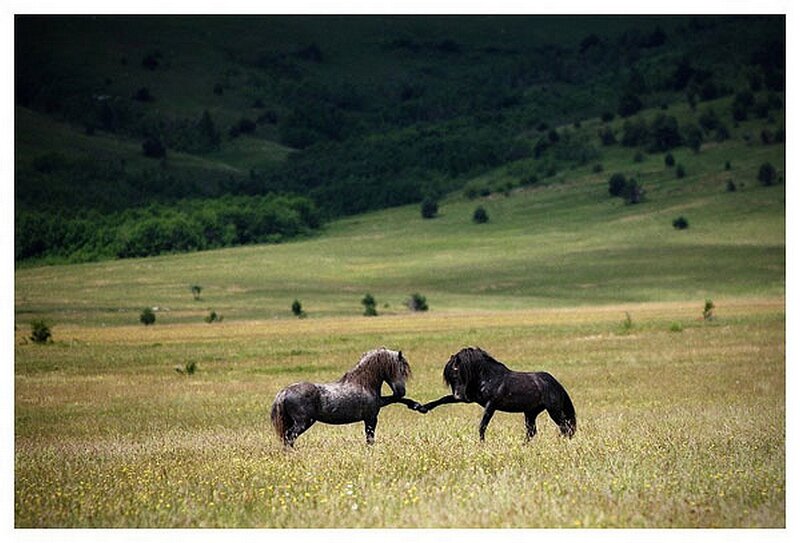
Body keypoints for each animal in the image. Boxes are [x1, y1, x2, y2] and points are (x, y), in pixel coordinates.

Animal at [270, 348, 422, 447]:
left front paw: (417, 406)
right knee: (289, 437)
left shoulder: (377, 406)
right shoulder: (371, 418)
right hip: (303, 422)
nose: (401, 391)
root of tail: (283, 393)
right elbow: (370, 439)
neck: (363, 383)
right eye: (400, 370)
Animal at [418, 347, 576, 442]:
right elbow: (444, 399)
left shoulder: (491, 405)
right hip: (530, 413)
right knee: (532, 432)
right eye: (450, 378)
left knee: (565, 427)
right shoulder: (471, 398)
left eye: (458, 374)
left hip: (553, 411)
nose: (458, 395)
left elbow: (482, 425)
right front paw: (423, 408)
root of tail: (556, 384)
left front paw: (482, 444)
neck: (489, 377)